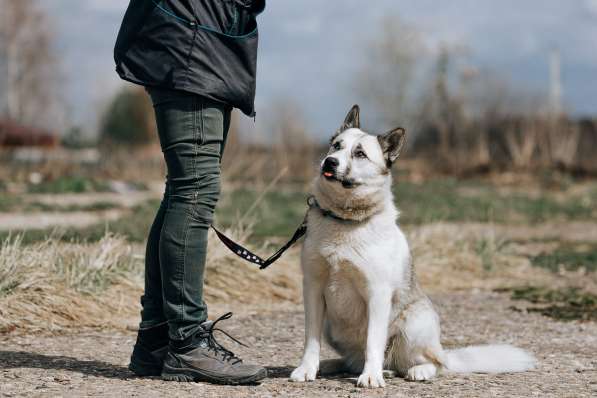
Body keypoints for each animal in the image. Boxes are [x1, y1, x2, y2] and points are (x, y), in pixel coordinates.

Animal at [288, 104, 536, 388]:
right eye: (336, 146)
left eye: (360, 154)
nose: (330, 162)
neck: (345, 219)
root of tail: (443, 352)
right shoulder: (313, 288)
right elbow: (311, 339)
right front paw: (307, 369)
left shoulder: (377, 293)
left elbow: (374, 342)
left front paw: (371, 377)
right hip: (333, 327)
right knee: (356, 361)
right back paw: (337, 366)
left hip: (415, 323)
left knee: (430, 364)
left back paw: (413, 371)